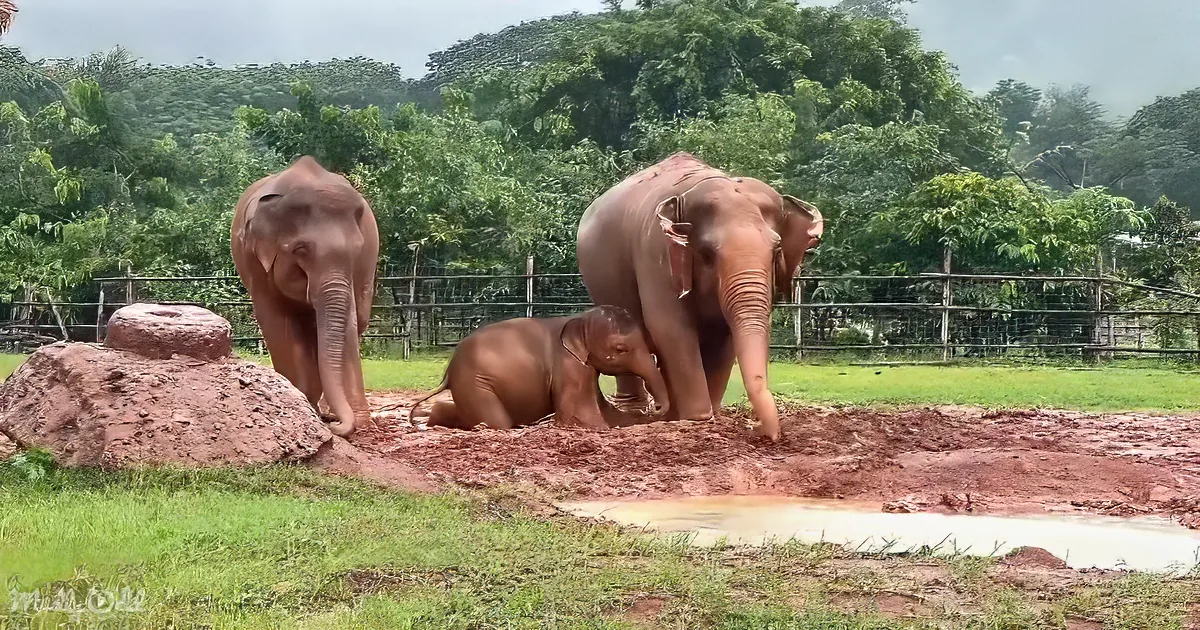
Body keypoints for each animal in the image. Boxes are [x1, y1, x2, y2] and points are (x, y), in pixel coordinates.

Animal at [231, 156, 380, 437]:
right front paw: (302, 406)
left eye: (357, 249)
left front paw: (359, 422)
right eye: (300, 250)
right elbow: (276, 319)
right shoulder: (252, 260)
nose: (334, 424)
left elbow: (348, 319)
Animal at [409, 306, 670, 430]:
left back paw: (432, 420)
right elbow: (580, 417)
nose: (655, 409)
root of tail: (449, 371)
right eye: (620, 348)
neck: (579, 320)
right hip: (476, 384)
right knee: (497, 422)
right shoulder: (569, 366)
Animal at [576, 152, 824, 442]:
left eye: (776, 250)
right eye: (706, 253)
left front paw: (710, 415)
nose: (769, 435)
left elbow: (725, 337)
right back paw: (636, 411)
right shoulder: (655, 250)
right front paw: (698, 418)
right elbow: (669, 327)